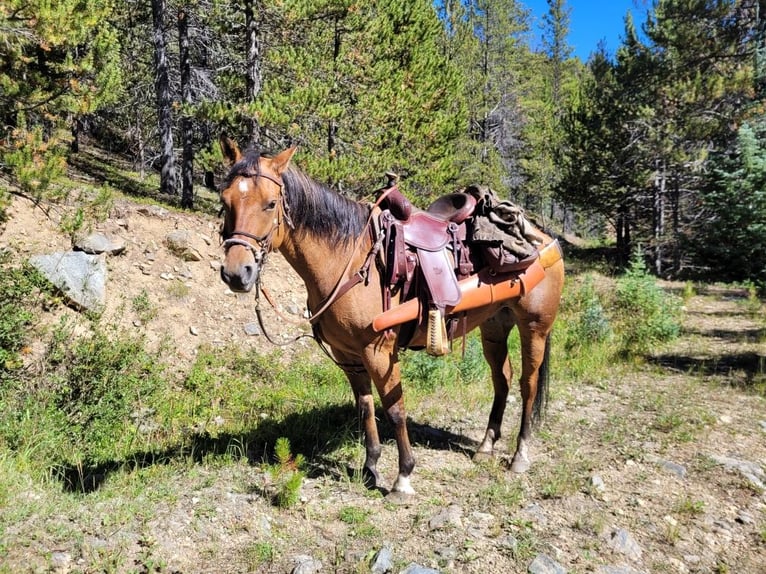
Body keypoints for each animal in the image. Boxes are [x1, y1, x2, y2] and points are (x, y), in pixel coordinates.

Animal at [217, 138, 565, 499]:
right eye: (224, 201)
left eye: (270, 204)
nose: (236, 273)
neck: (349, 259)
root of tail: (542, 235)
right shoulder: (348, 354)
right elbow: (365, 406)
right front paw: (370, 467)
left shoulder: (379, 351)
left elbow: (395, 409)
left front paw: (403, 476)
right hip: (494, 326)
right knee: (503, 379)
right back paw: (485, 447)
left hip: (535, 327)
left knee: (527, 383)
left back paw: (520, 455)